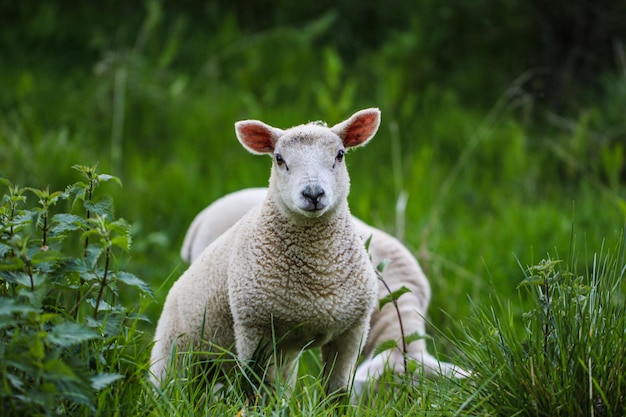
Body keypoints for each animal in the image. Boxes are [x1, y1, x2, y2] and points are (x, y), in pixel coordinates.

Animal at [150, 108, 380, 396]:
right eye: (279, 159)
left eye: (340, 154)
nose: (313, 194)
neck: (319, 274)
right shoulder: (254, 330)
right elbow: (258, 393)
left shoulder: (352, 331)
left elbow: (335, 393)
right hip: (173, 353)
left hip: (272, 357)